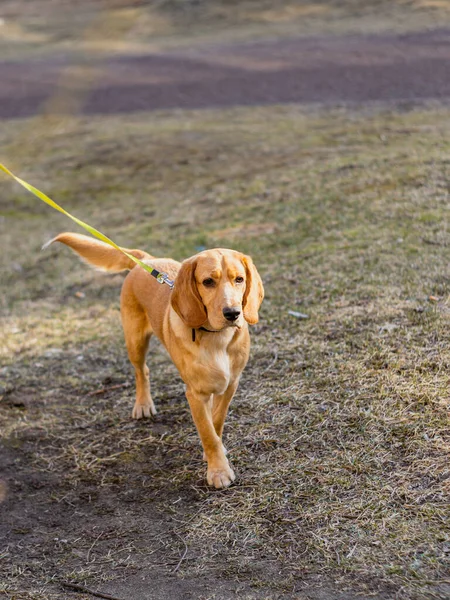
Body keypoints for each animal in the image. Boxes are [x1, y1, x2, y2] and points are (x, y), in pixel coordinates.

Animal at [45, 232, 264, 490]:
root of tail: (147, 259)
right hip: (135, 342)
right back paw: (143, 404)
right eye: (208, 282)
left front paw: (215, 452)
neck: (216, 338)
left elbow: (216, 422)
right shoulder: (195, 393)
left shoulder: (231, 384)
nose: (232, 313)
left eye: (239, 279)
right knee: (142, 371)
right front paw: (218, 470)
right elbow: (208, 434)